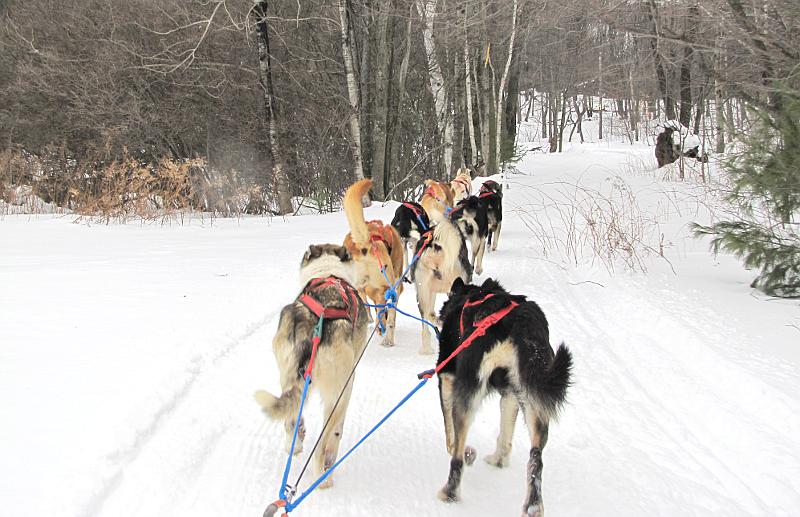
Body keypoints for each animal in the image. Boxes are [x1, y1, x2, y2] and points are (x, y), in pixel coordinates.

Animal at [344, 178, 406, 346]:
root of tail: (365, 244)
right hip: (390, 287)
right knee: (385, 317)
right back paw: (387, 338)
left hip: (359, 287)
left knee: (370, 310)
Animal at [434, 278, 572, 516]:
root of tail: (517, 324)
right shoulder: (510, 395)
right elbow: (505, 435)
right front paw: (499, 460)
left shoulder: (447, 377)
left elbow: (449, 432)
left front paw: (458, 449)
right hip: (533, 397)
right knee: (536, 460)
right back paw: (533, 505)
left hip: (468, 388)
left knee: (457, 457)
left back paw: (449, 493)